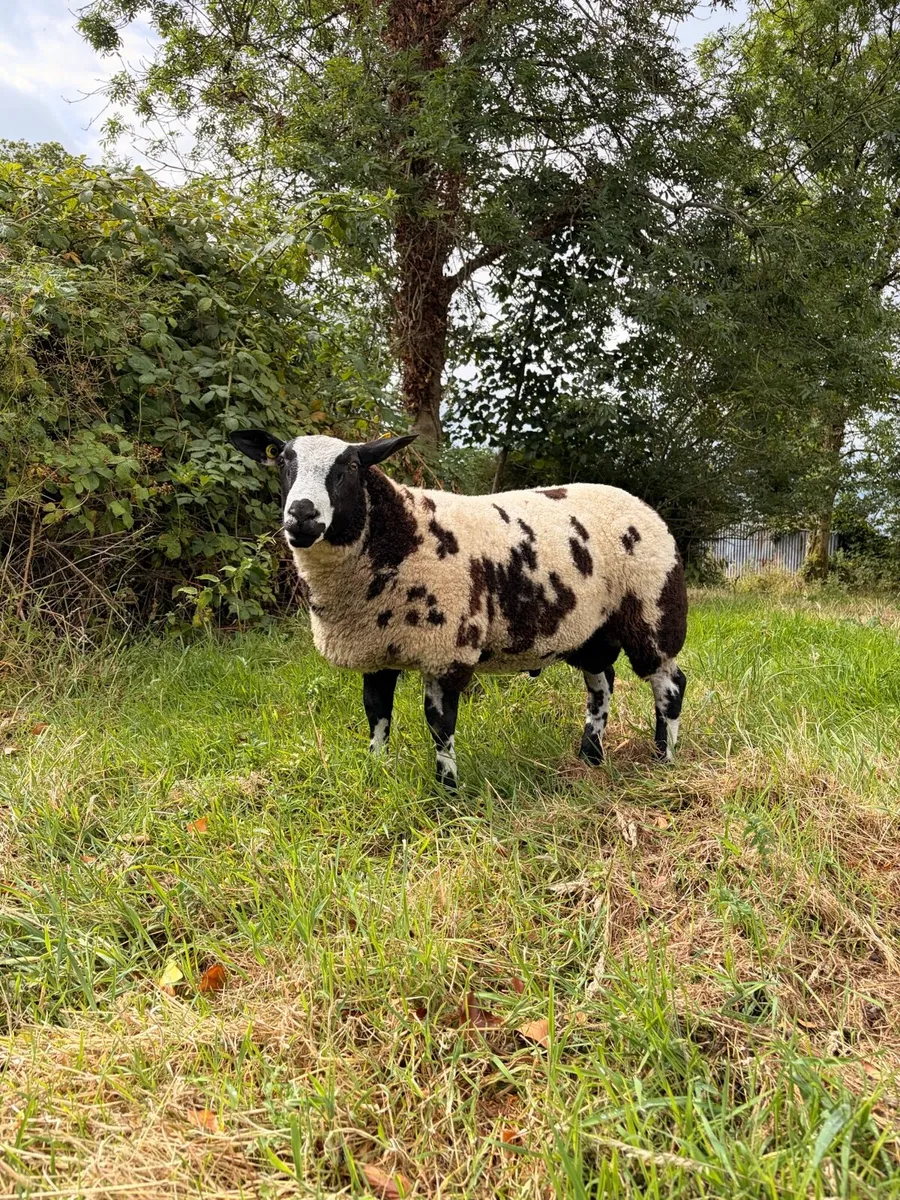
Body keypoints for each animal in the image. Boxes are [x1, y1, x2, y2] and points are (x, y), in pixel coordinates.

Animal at [229, 429, 688, 789]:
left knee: (669, 683)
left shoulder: (447, 648)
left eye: (351, 466)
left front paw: (447, 788)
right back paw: (590, 756)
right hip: (588, 629)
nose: (302, 515)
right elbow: (377, 712)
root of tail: (643, 506)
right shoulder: (377, 650)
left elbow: (439, 723)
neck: (402, 534)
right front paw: (377, 771)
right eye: (283, 460)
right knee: (601, 683)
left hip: (652, 612)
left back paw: (664, 759)